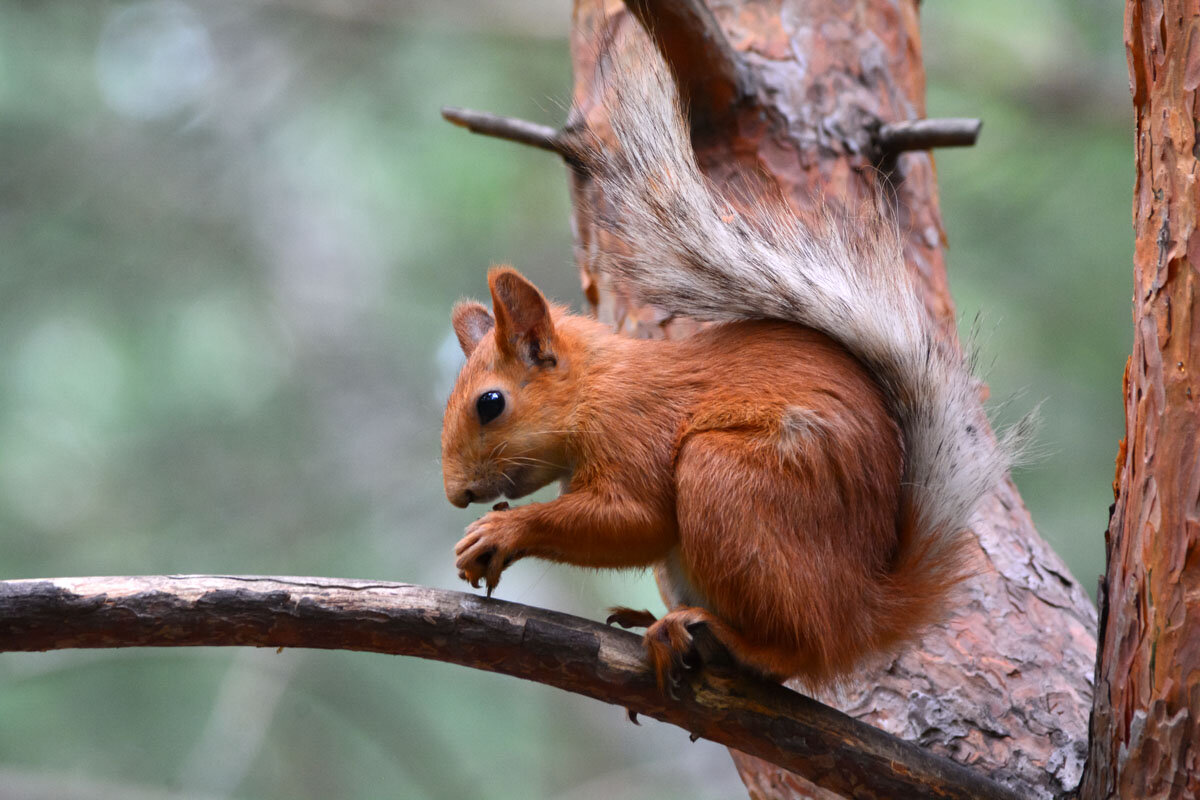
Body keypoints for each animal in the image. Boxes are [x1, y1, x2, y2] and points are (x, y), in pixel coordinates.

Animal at [441, 38, 1022, 690]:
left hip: (728, 481)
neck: (595, 388)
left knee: (797, 649)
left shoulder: (633, 430)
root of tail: (863, 615)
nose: (458, 495)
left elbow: (635, 521)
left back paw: (728, 640)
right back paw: (658, 625)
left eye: (491, 403)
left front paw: (503, 531)